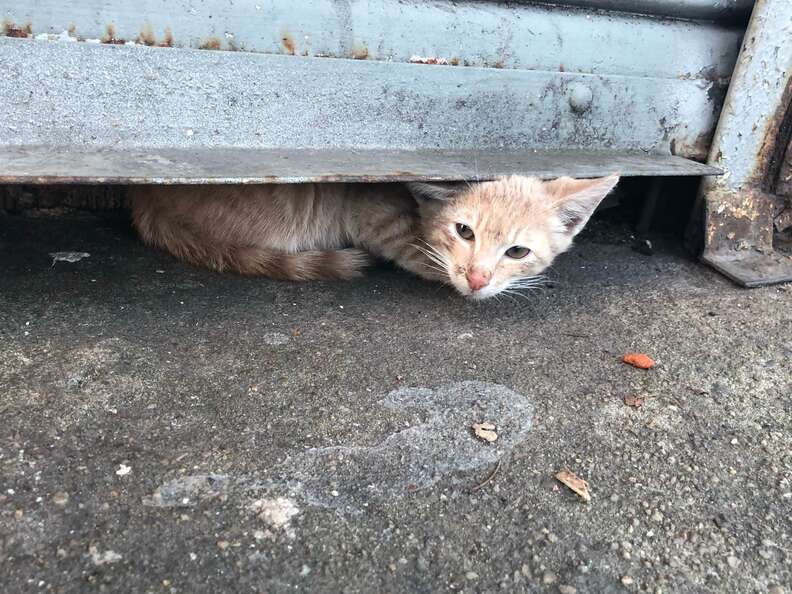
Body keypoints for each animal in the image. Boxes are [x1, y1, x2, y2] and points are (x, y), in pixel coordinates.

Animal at [128, 173, 620, 298]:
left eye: (517, 251)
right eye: (463, 231)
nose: (478, 279)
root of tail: (146, 199)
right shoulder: (369, 214)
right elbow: (415, 253)